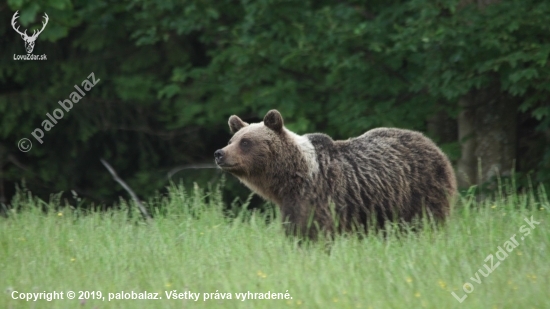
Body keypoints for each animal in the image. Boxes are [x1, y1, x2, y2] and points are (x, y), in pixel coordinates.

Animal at [213, 109, 460, 237]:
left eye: (246, 142)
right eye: (232, 140)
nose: (219, 153)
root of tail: (431, 143)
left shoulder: (320, 196)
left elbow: (315, 231)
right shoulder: (292, 202)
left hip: (421, 190)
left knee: (428, 221)